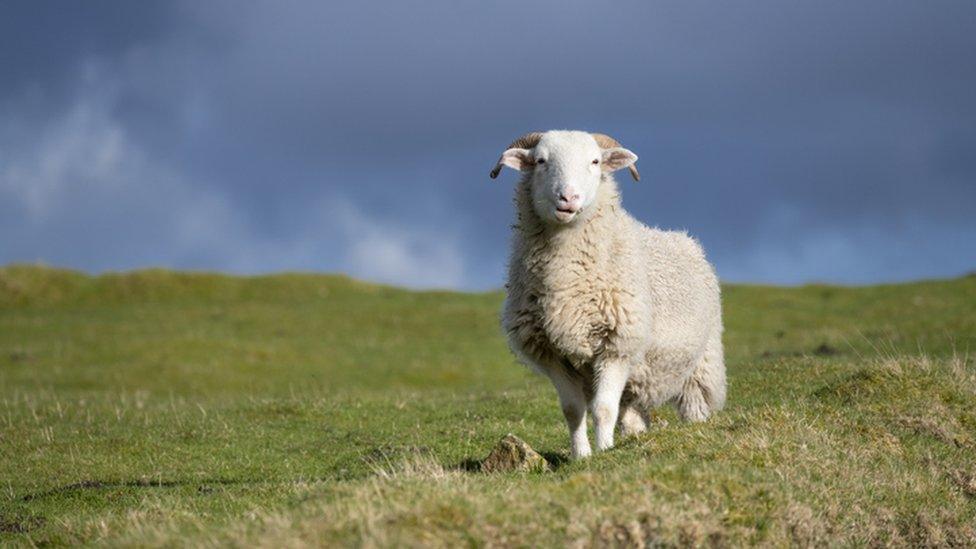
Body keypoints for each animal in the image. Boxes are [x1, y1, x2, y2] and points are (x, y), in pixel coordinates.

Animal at [492, 130, 720, 458]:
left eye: (595, 161)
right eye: (540, 161)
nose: (568, 198)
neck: (567, 283)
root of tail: (685, 239)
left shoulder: (617, 346)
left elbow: (602, 408)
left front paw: (604, 452)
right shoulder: (551, 353)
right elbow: (573, 410)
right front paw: (581, 456)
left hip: (701, 364)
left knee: (695, 403)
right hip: (641, 377)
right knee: (633, 412)